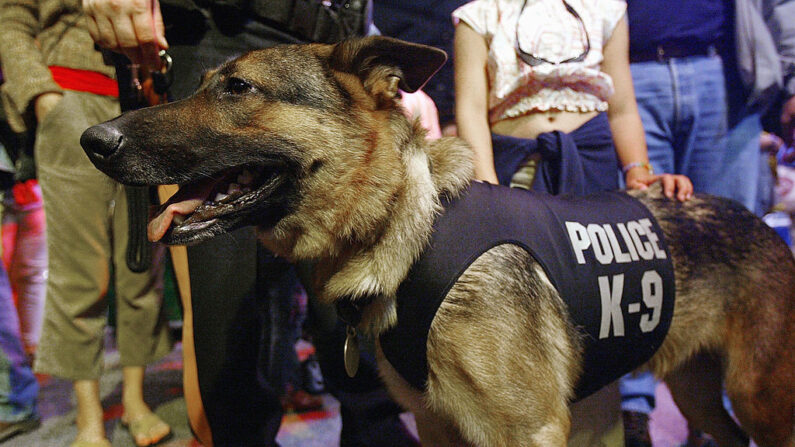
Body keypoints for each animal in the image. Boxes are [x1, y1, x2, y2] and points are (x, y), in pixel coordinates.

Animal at [82, 36, 795, 446]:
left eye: (237, 88)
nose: (94, 140)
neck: (410, 227)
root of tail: (759, 221)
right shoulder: (438, 425)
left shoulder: (531, 429)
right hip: (701, 393)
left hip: (761, 399)